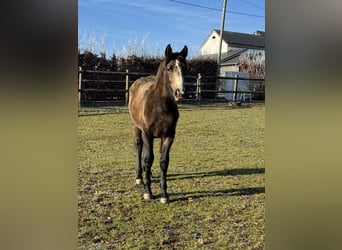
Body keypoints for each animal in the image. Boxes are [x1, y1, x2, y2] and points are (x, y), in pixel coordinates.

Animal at [128, 43, 188, 203]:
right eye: (169, 68)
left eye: (185, 68)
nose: (180, 93)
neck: (160, 106)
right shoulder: (147, 133)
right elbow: (148, 159)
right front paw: (147, 192)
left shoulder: (169, 136)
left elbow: (163, 162)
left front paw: (164, 194)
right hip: (137, 128)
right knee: (139, 149)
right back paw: (139, 177)